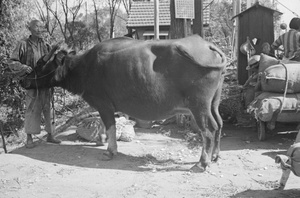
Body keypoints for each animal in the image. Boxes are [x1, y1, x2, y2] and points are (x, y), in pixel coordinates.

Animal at [22, 34, 225, 172]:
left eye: (39, 65)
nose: (23, 81)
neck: (85, 67)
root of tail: (207, 44)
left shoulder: (104, 105)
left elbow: (110, 126)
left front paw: (110, 151)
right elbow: (108, 127)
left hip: (198, 106)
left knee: (208, 130)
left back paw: (202, 163)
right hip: (213, 103)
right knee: (219, 123)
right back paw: (215, 156)